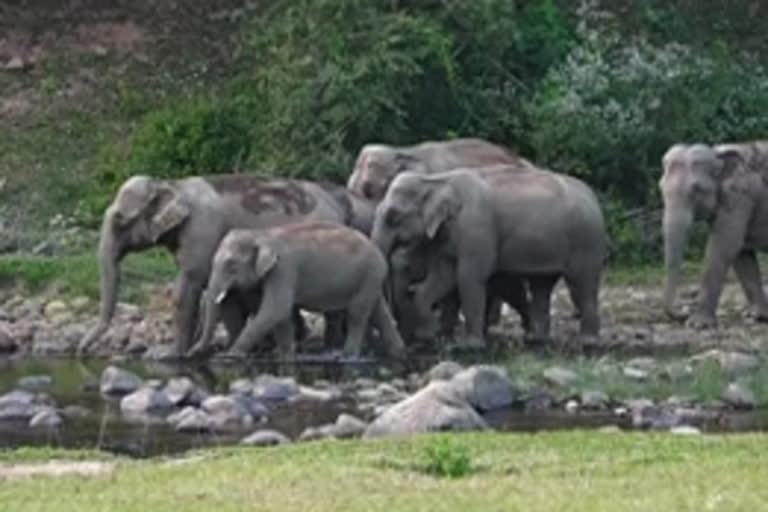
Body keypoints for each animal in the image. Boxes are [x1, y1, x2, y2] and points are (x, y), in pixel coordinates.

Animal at [79, 174, 368, 358]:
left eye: (120, 220)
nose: (81, 350)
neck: (172, 184)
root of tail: (339, 204)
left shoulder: (202, 230)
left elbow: (187, 288)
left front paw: (168, 355)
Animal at [188, 221, 408, 360]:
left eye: (232, 266)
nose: (190, 353)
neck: (261, 233)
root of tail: (378, 250)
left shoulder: (284, 270)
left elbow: (275, 309)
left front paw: (232, 355)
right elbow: (281, 315)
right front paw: (284, 355)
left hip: (369, 274)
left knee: (358, 313)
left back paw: (346, 356)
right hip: (371, 279)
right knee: (379, 312)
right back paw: (399, 353)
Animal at [368, 164, 608, 348]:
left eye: (392, 216)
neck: (437, 180)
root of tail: (593, 198)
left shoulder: (476, 227)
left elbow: (469, 277)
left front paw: (469, 346)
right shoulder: (449, 235)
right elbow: (443, 276)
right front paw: (430, 337)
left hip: (586, 240)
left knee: (582, 285)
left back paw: (588, 342)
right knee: (542, 285)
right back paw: (536, 340)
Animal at [656, 143, 768, 328]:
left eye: (696, 189)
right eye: (661, 187)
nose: (683, 313)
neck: (716, 153)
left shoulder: (739, 199)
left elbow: (724, 246)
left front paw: (698, 325)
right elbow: (741, 253)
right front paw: (757, 316)